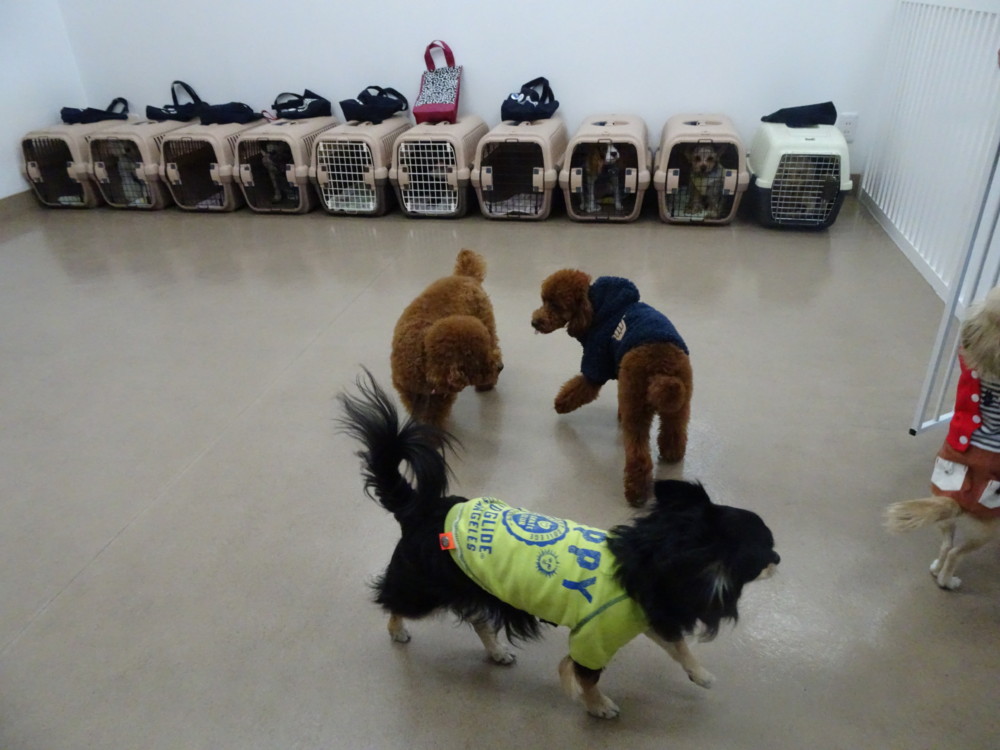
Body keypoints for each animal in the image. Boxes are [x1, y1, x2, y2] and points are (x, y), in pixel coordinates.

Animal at [338, 372, 779, 719]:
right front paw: (598, 706)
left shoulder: (650, 615)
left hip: (475, 588)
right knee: (392, 601)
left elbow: (679, 645)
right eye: (764, 553)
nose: (779, 557)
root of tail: (421, 508)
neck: (654, 551)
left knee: (478, 619)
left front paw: (699, 674)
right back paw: (398, 631)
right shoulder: (594, 639)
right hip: (424, 590)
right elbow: (587, 676)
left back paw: (497, 651)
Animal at [390, 249, 503, 428]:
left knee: (497, 345)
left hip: (487, 322)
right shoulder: (407, 390)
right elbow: (415, 408)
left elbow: (435, 414)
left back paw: (486, 385)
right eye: (478, 360)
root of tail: (466, 276)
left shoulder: (443, 394)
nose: (500, 367)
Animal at [531, 271, 692, 504]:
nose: (534, 322)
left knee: (638, 454)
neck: (595, 306)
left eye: (556, 305)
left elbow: (580, 388)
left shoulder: (596, 361)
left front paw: (560, 403)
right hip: (679, 402)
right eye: (544, 300)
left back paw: (635, 492)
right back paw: (672, 454)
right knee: (675, 431)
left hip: (637, 406)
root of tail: (662, 368)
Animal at [885, 286, 1000, 589]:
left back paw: (937, 568)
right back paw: (949, 581)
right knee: (956, 553)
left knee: (947, 545)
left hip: (947, 520)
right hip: (988, 530)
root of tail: (954, 499)